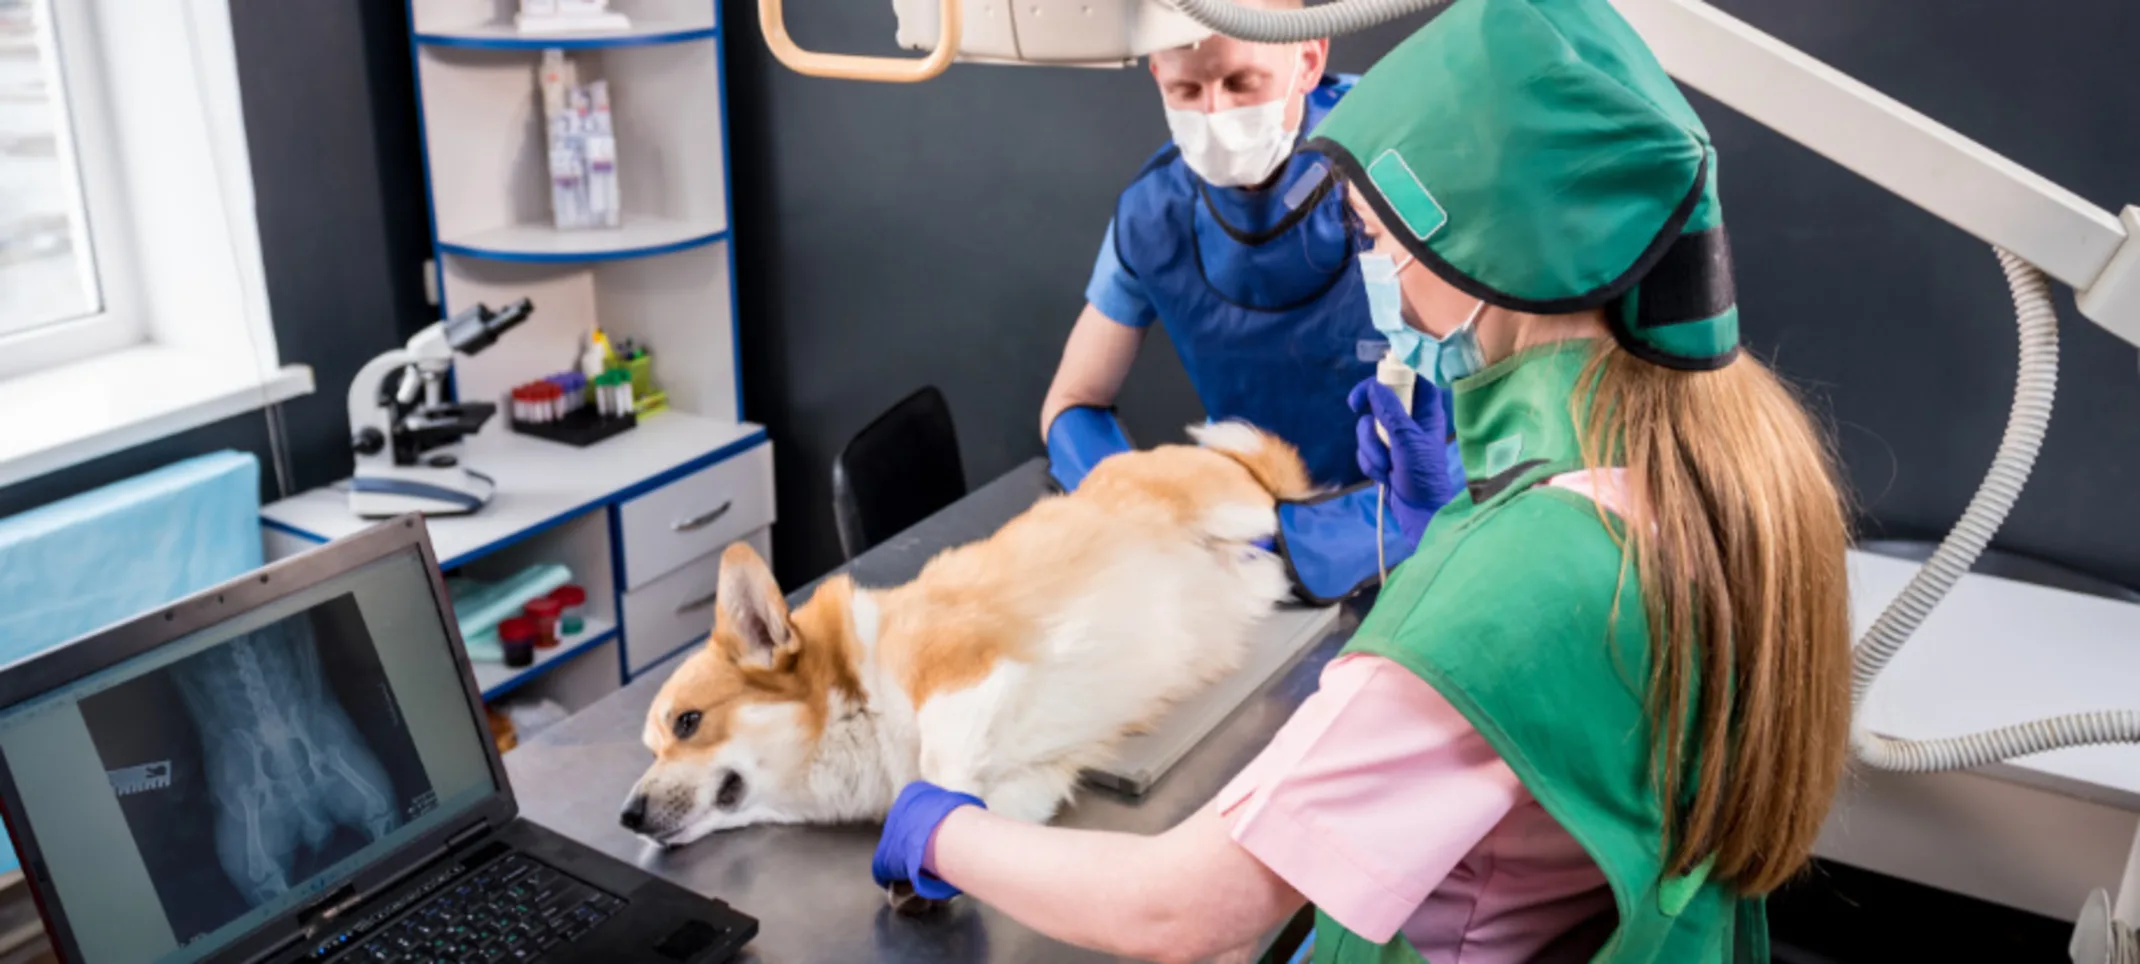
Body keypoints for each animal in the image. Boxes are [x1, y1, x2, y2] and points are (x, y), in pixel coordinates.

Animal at [624, 422, 1318, 844]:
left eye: (688, 722)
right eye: (650, 745)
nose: (627, 816)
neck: (853, 724)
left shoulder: (959, 665)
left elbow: (940, 760)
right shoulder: (1031, 784)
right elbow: (982, 815)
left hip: (1241, 508)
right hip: (1255, 567)